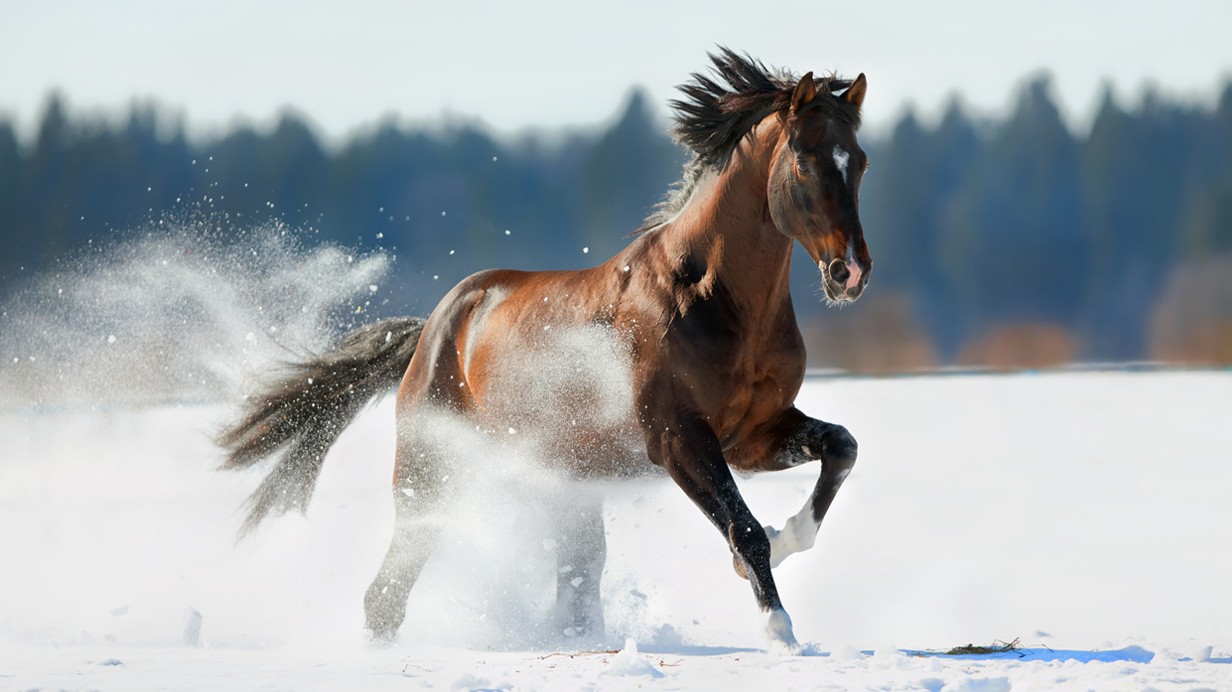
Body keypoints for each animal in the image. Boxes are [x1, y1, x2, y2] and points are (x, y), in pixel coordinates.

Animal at [221, 49, 877, 650]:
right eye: (805, 160)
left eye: (861, 161)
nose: (850, 273)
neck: (709, 296)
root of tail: (434, 327)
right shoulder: (678, 440)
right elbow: (744, 529)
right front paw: (779, 631)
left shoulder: (752, 434)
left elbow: (841, 447)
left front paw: (788, 540)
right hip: (432, 474)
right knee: (389, 590)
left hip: (566, 485)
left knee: (573, 584)